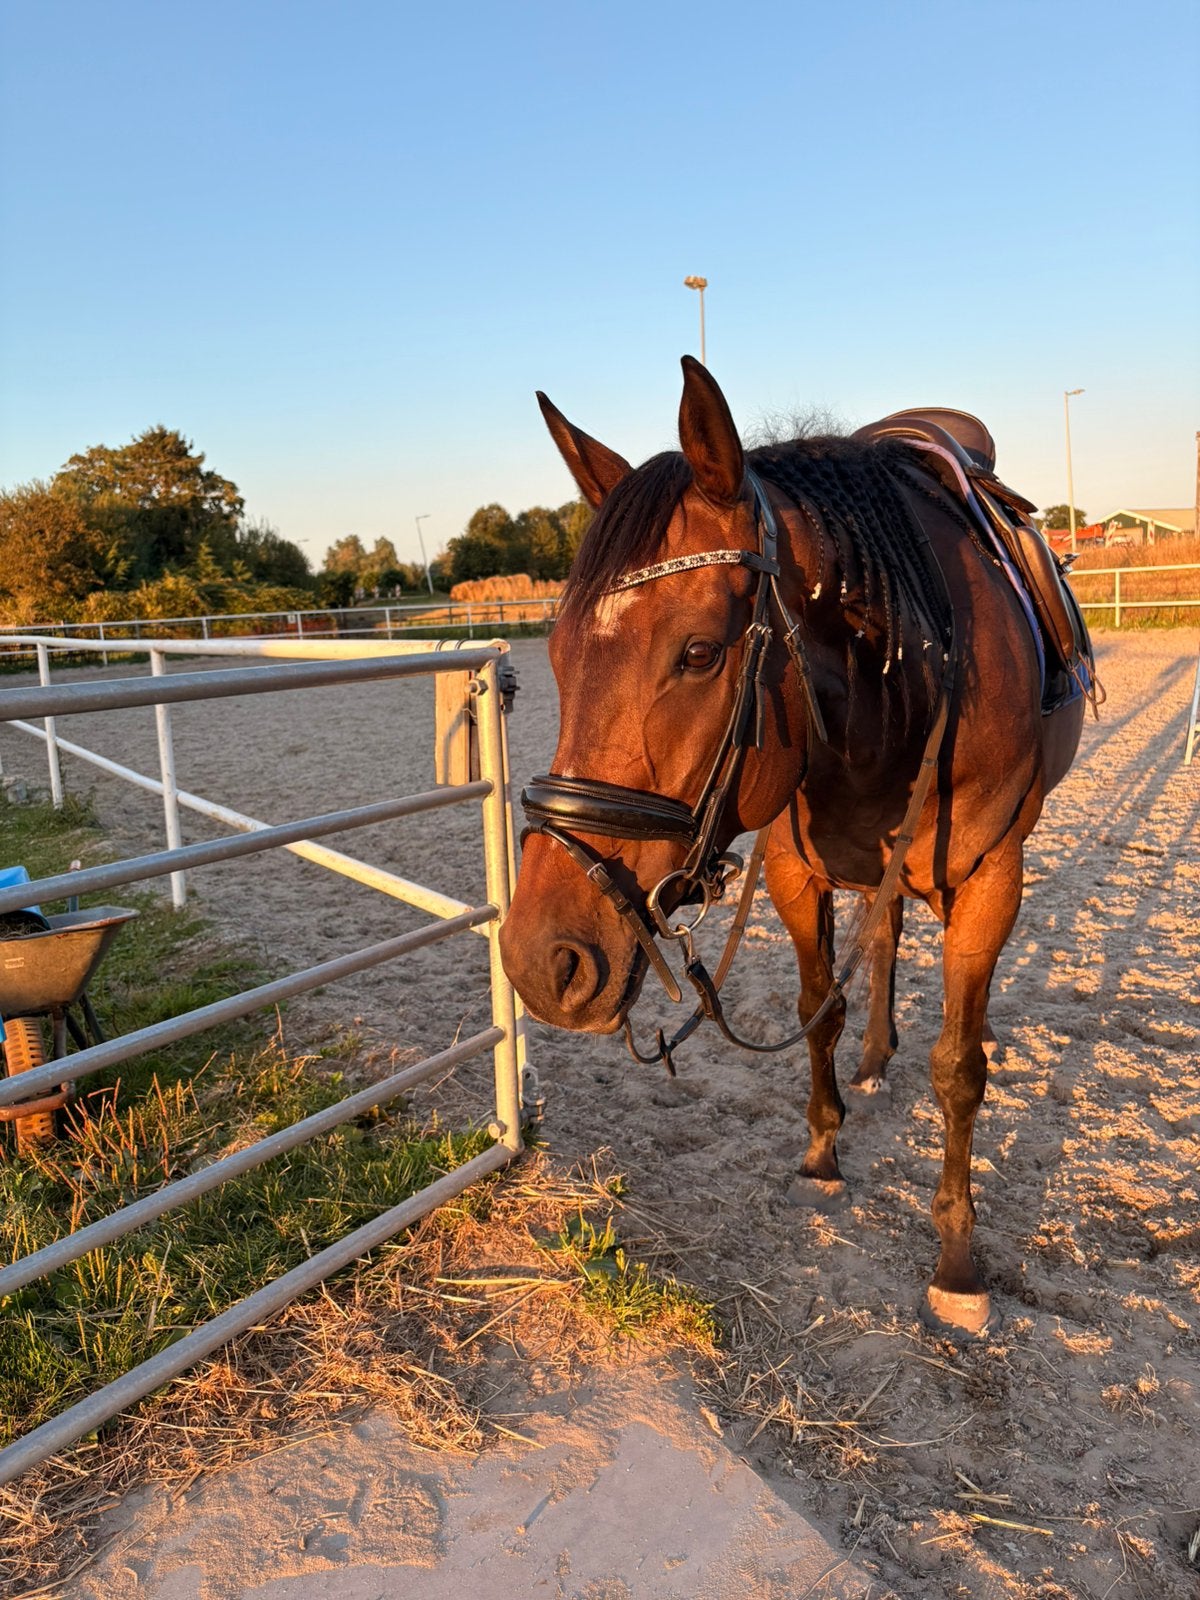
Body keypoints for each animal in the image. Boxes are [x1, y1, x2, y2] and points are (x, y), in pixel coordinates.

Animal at [499, 357, 1089, 1336]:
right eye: (555, 651)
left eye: (700, 653)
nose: (541, 962)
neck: (908, 681)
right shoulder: (793, 871)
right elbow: (822, 1009)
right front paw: (822, 1152)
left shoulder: (989, 881)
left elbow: (959, 1067)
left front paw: (958, 1261)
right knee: (883, 936)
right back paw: (879, 1057)